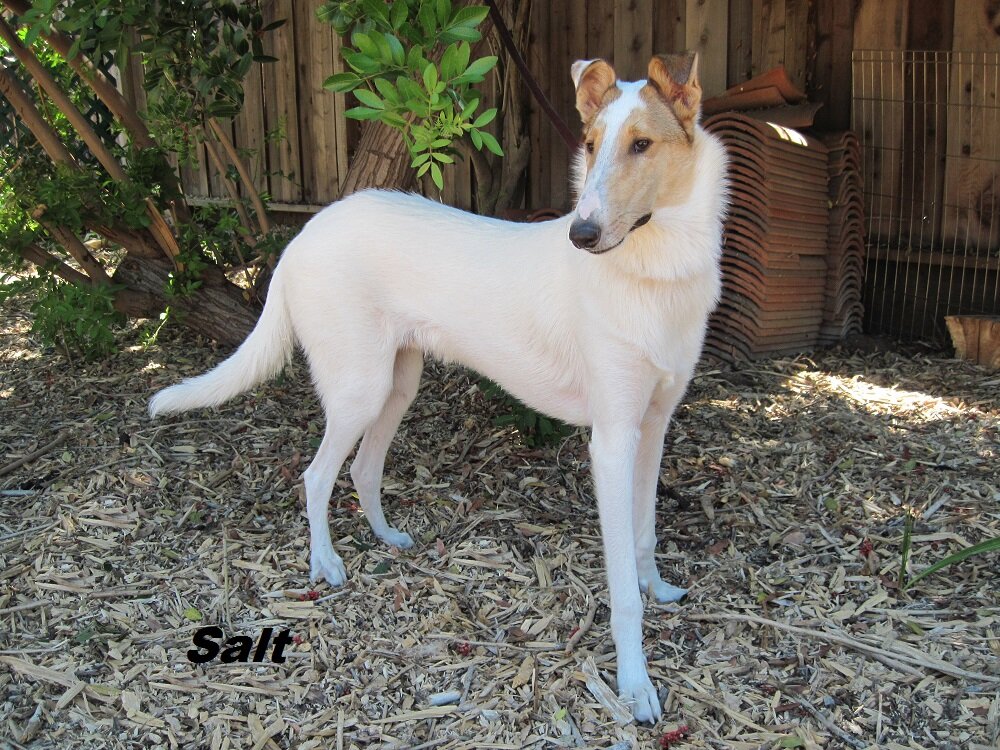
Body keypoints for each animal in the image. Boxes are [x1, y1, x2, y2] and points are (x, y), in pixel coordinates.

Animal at [148, 53, 728, 724]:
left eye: (641, 145)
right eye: (589, 145)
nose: (580, 234)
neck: (654, 268)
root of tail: (304, 233)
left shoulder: (653, 427)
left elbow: (645, 533)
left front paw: (655, 586)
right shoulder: (611, 441)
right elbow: (622, 592)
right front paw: (635, 685)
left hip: (397, 385)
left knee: (361, 469)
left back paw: (387, 538)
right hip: (360, 389)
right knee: (317, 476)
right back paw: (325, 563)